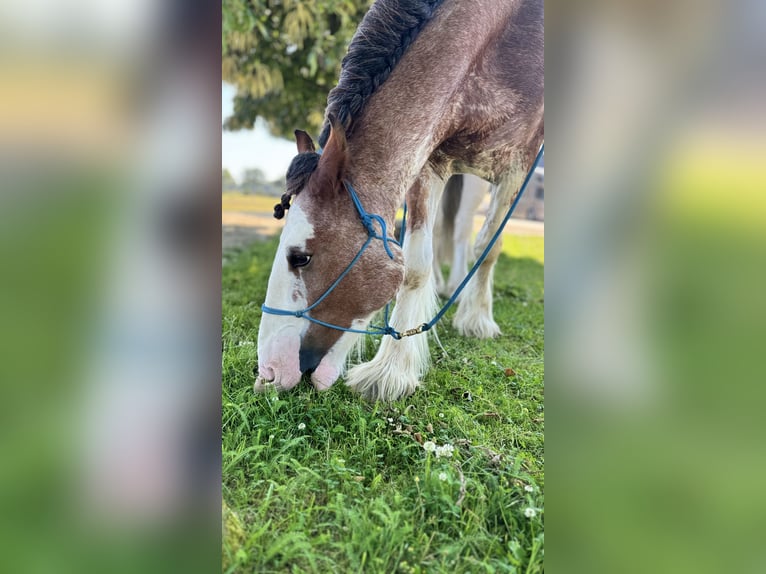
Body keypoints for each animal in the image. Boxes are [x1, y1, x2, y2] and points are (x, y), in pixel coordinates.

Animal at [258, 0, 544, 402]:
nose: (268, 372)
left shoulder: (520, 163)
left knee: (463, 233)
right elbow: (415, 265)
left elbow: (488, 246)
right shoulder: (429, 160)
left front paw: (477, 320)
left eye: (300, 257)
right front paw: (392, 368)